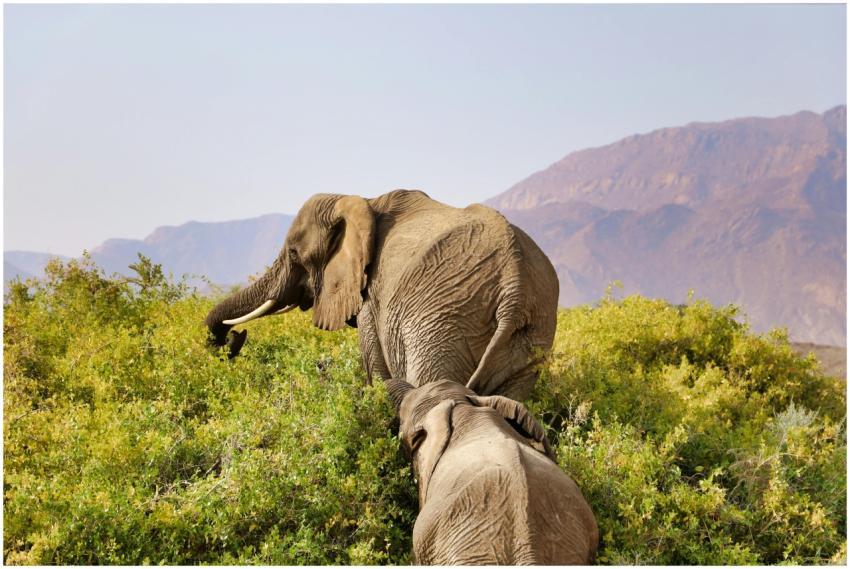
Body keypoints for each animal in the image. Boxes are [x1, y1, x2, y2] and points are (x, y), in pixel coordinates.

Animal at [205, 189, 558, 399]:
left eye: (294, 253)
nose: (234, 337)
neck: (360, 201)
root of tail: (514, 286)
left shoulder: (371, 299)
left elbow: (372, 364)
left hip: (443, 320)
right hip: (531, 338)